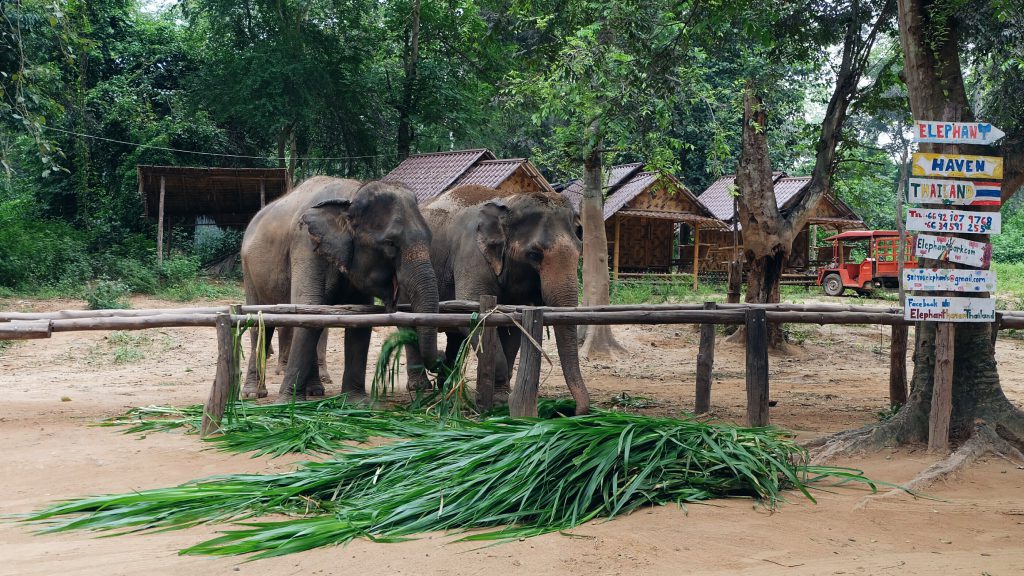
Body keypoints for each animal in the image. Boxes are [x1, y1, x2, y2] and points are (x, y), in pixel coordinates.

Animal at [241, 176, 438, 399]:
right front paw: (288, 401)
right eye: (390, 243)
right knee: (260, 323)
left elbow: (361, 317)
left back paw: (315, 391)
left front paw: (356, 401)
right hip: (249, 271)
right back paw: (254, 394)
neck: (352, 195)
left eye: (430, 238)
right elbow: (308, 308)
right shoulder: (305, 246)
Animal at [401, 183, 589, 412]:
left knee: (454, 334)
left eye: (579, 251)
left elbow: (512, 328)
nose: (572, 411)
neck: (508, 201)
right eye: (534, 254)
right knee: (409, 325)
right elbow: (471, 311)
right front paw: (498, 400)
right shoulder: (472, 255)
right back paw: (420, 387)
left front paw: (501, 397)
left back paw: (446, 384)